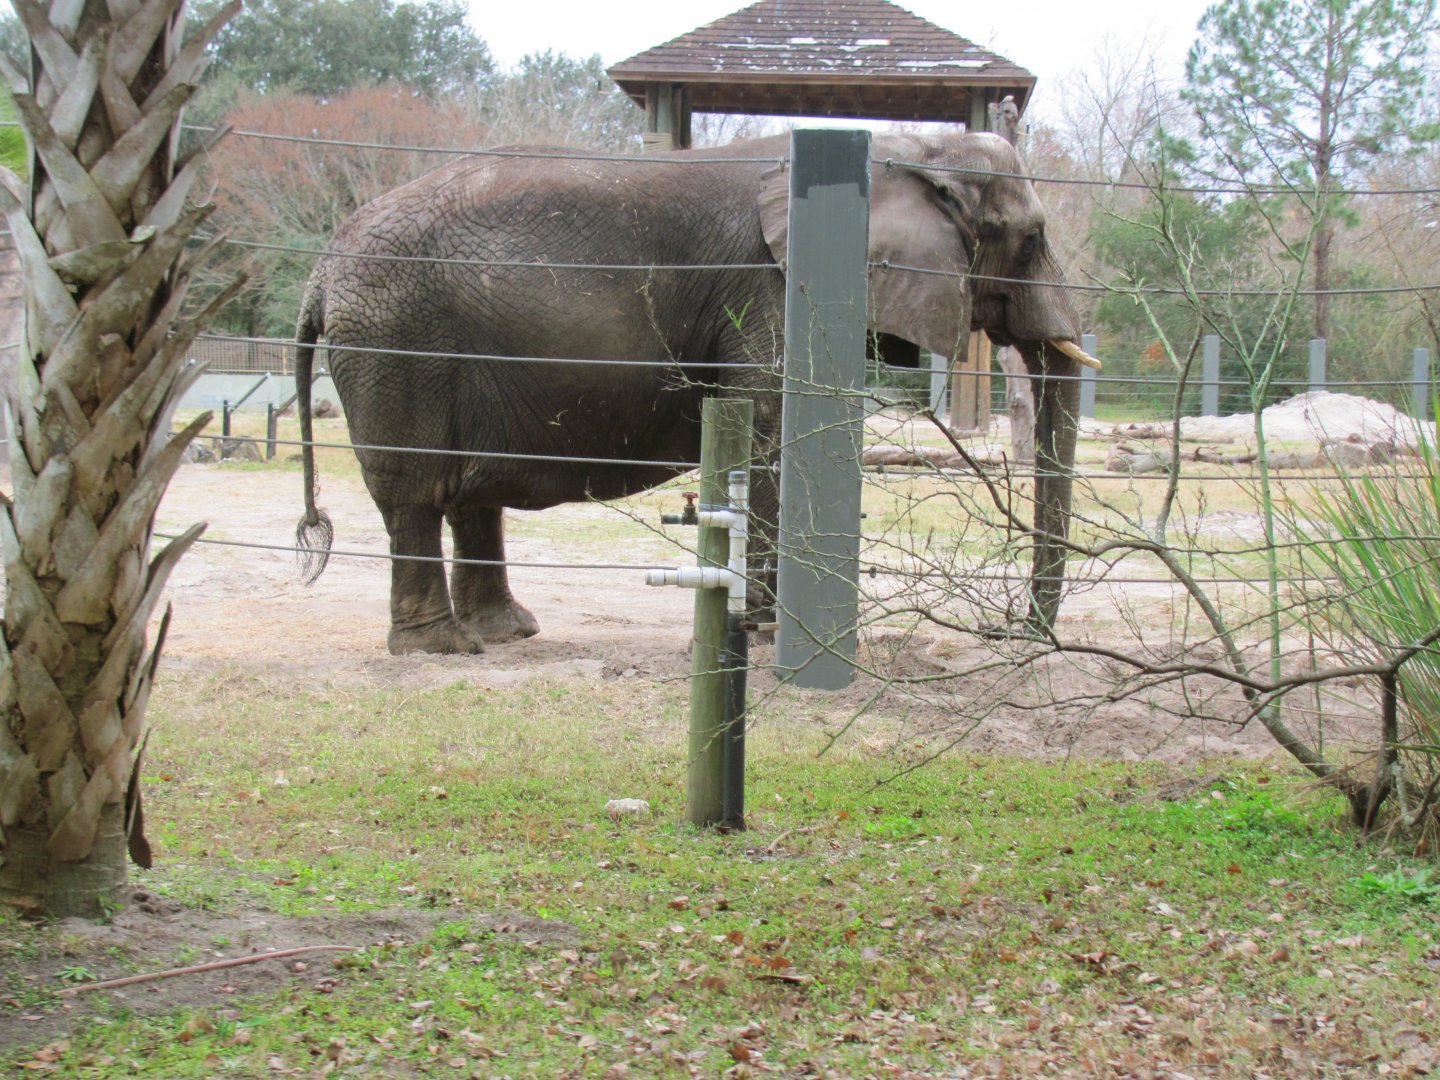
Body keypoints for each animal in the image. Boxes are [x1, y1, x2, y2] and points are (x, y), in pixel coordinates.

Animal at [293, 132, 1094, 655]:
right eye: (1028, 238)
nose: (1007, 631)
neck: (898, 147)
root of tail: (320, 272)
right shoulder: (770, 289)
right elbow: (771, 418)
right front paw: (768, 631)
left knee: (468, 493)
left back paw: (508, 634)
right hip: (399, 343)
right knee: (416, 493)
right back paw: (441, 650)